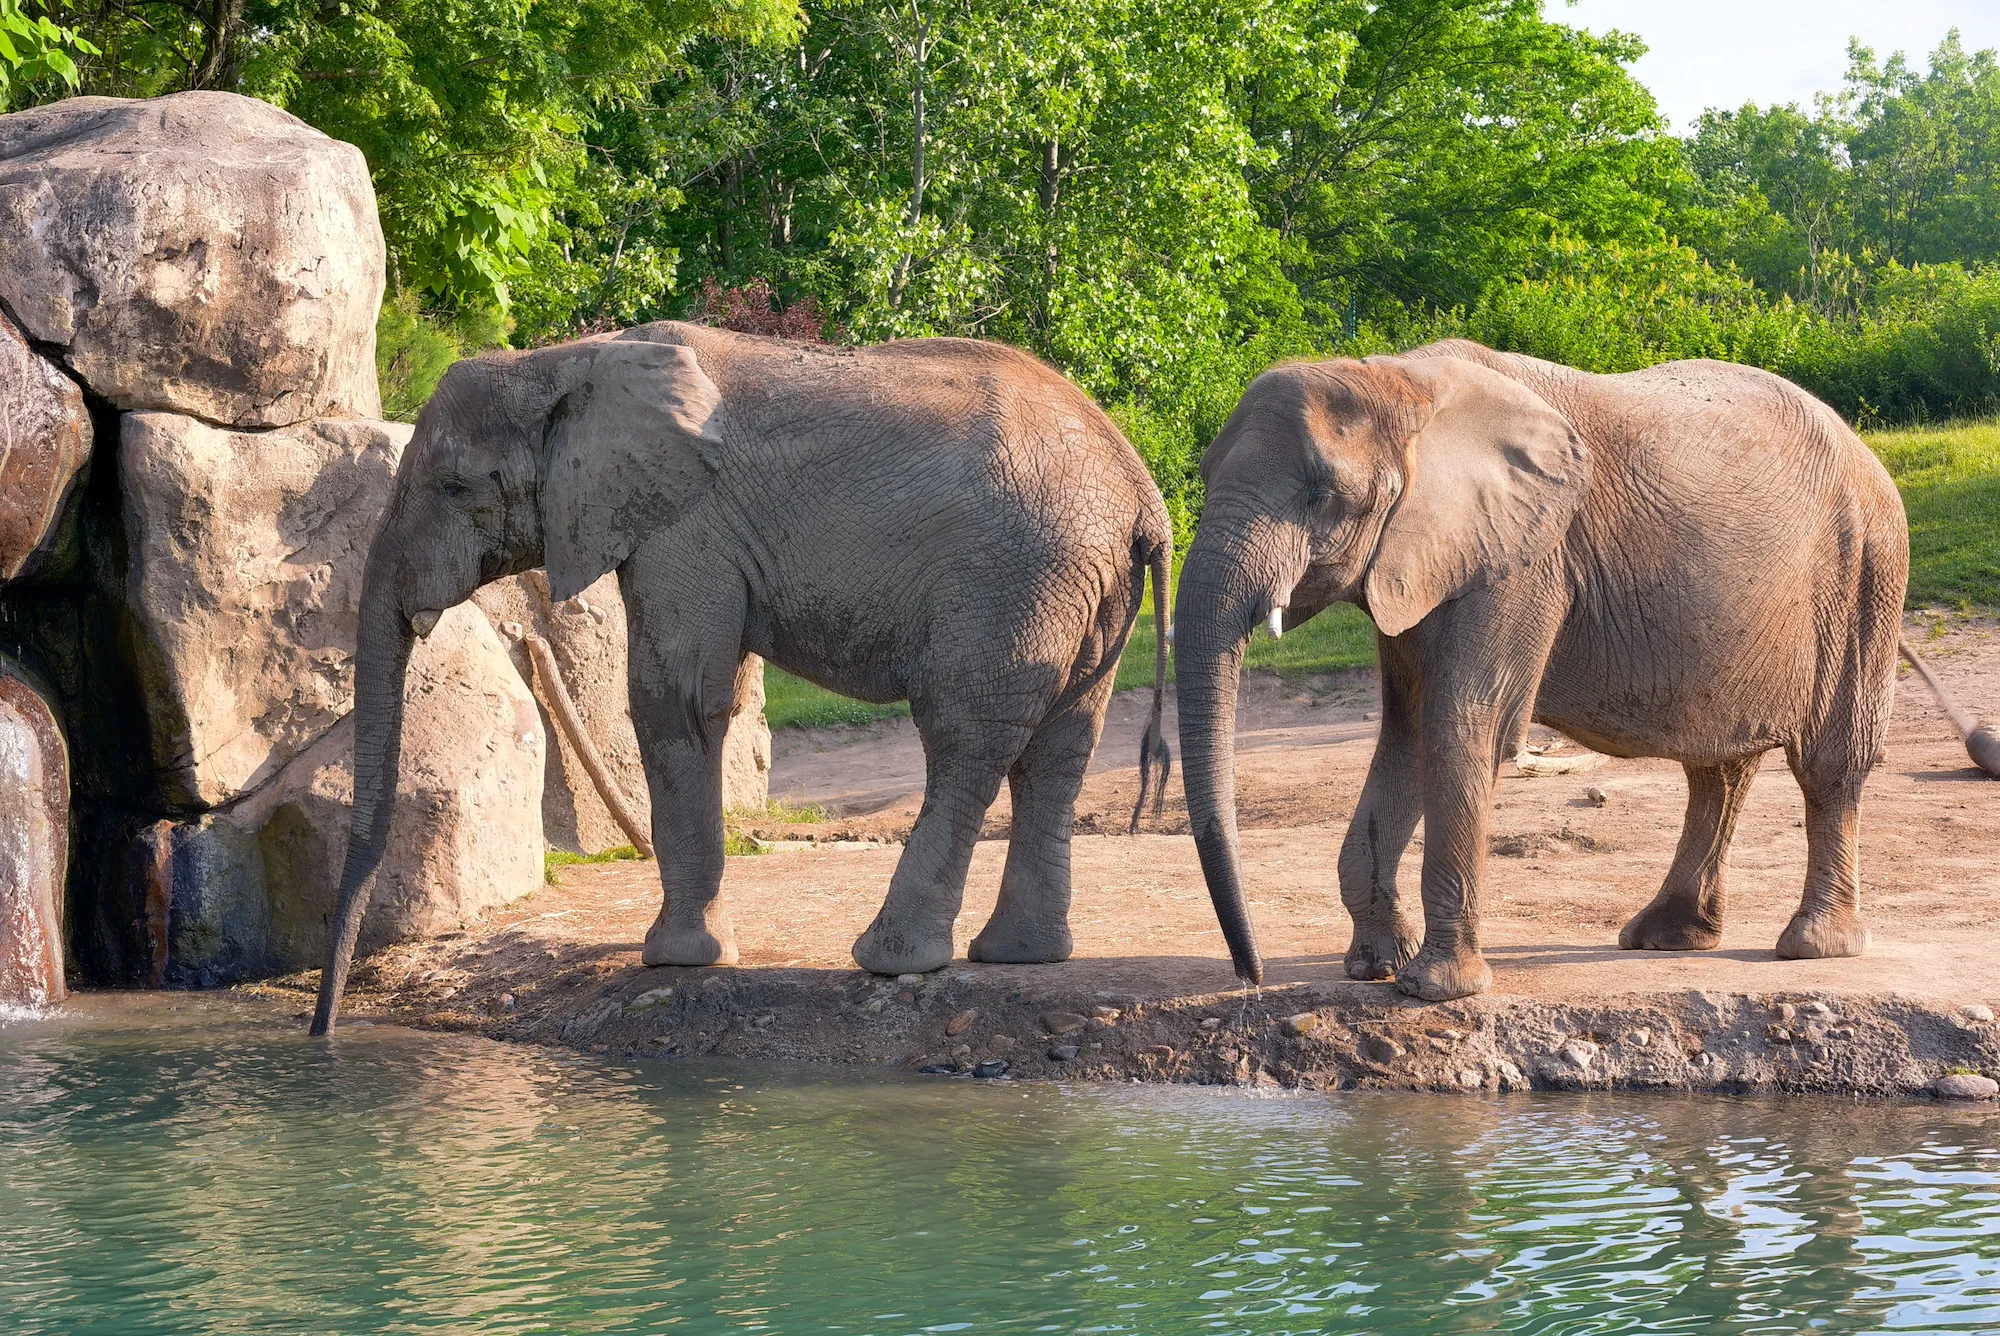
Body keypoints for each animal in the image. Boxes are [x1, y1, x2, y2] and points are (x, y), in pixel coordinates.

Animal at [310, 323, 1173, 1034]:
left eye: (456, 486)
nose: (323, 1029)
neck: (564, 360)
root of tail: (1144, 498)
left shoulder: (684, 526)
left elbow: (675, 701)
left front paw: (676, 960)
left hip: (1010, 582)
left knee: (966, 741)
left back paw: (890, 960)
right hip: (1081, 591)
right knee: (1059, 749)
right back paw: (1021, 955)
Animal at [1175, 338, 1909, 1002]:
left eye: (1323, 495)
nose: (1250, 975)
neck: (1400, 382)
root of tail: (1864, 450)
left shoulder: (1524, 561)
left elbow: (1464, 727)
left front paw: (1436, 989)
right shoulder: (1421, 560)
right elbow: (1406, 734)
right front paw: (1375, 967)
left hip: (1866, 573)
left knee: (1828, 764)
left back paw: (1813, 945)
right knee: (1718, 767)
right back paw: (1665, 937)